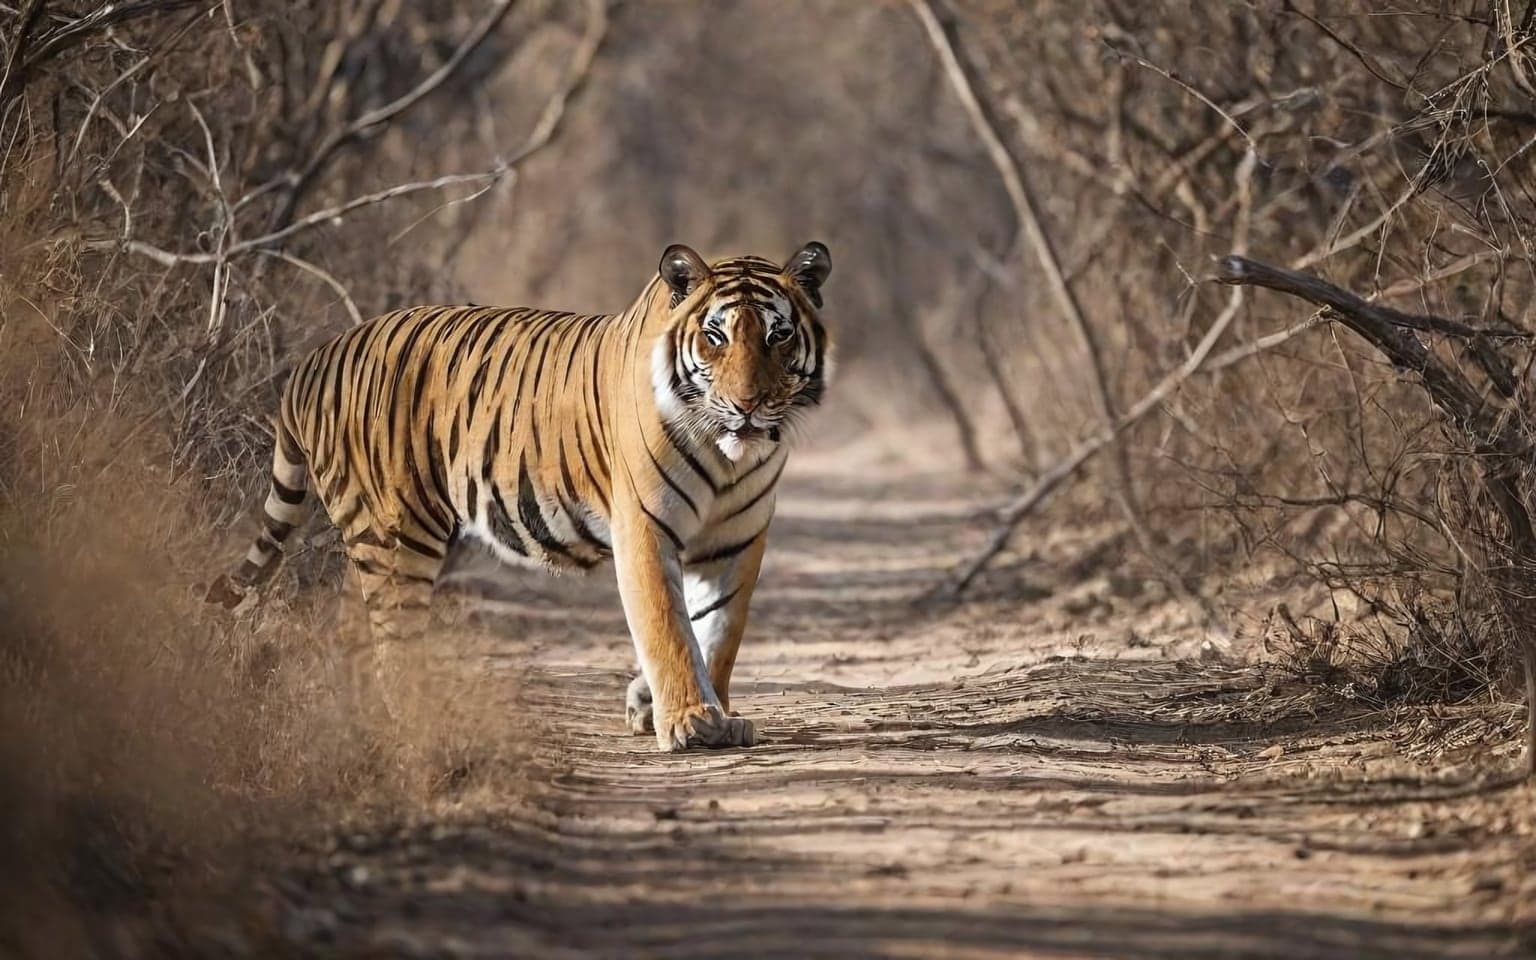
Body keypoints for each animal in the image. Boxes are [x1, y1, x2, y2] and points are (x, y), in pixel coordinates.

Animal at [209, 241, 833, 752]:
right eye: (715, 336)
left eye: (778, 335)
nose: (748, 405)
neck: (730, 457)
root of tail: (315, 358)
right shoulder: (645, 527)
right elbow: (668, 627)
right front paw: (691, 722)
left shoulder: (736, 542)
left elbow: (719, 631)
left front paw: (684, 708)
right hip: (397, 532)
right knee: (392, 638)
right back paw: (413, 722)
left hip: (376, 537)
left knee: (350, 628)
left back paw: (358, 714)